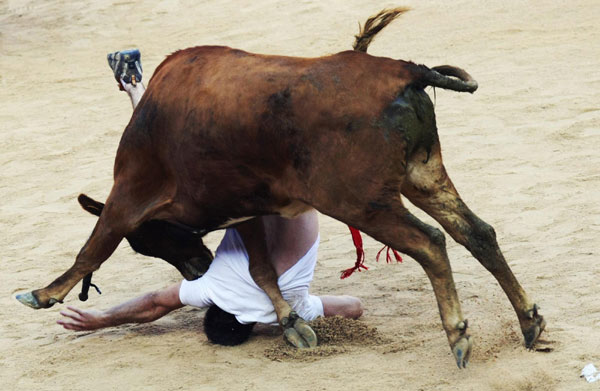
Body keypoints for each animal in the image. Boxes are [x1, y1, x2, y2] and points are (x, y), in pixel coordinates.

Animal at [17, 8, 544, 370]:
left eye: (147, 243)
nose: (200, 270)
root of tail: (404, 70)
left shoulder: (128, 193)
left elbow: (93, 247)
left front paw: (44, 294)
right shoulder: (248, 207)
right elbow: (262, 269)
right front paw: (292, 324)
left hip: (362, 202)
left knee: (431, 243)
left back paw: (459, 335)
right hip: (423, 176)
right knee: (477, 233)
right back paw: (529, 321)